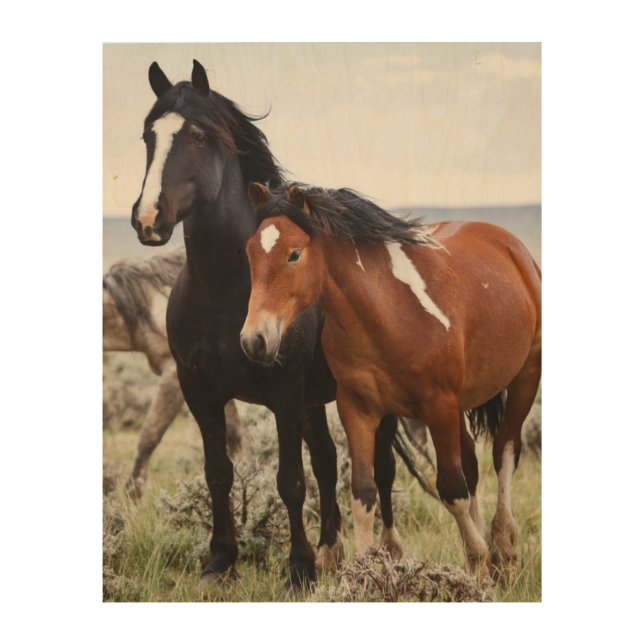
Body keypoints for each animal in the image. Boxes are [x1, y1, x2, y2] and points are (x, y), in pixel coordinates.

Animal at [241, 182, 542, 572]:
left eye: (294, 254)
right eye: (250, 252)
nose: (254, 340)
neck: (391, 312)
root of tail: (514, 249)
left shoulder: (438, 407)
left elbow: (451, 488)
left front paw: (479, 557)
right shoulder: (358, 409)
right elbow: (364, 492)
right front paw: (363, 570)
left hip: (525, 379)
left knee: (504, 452)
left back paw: (502, 544)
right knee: (473, 465)